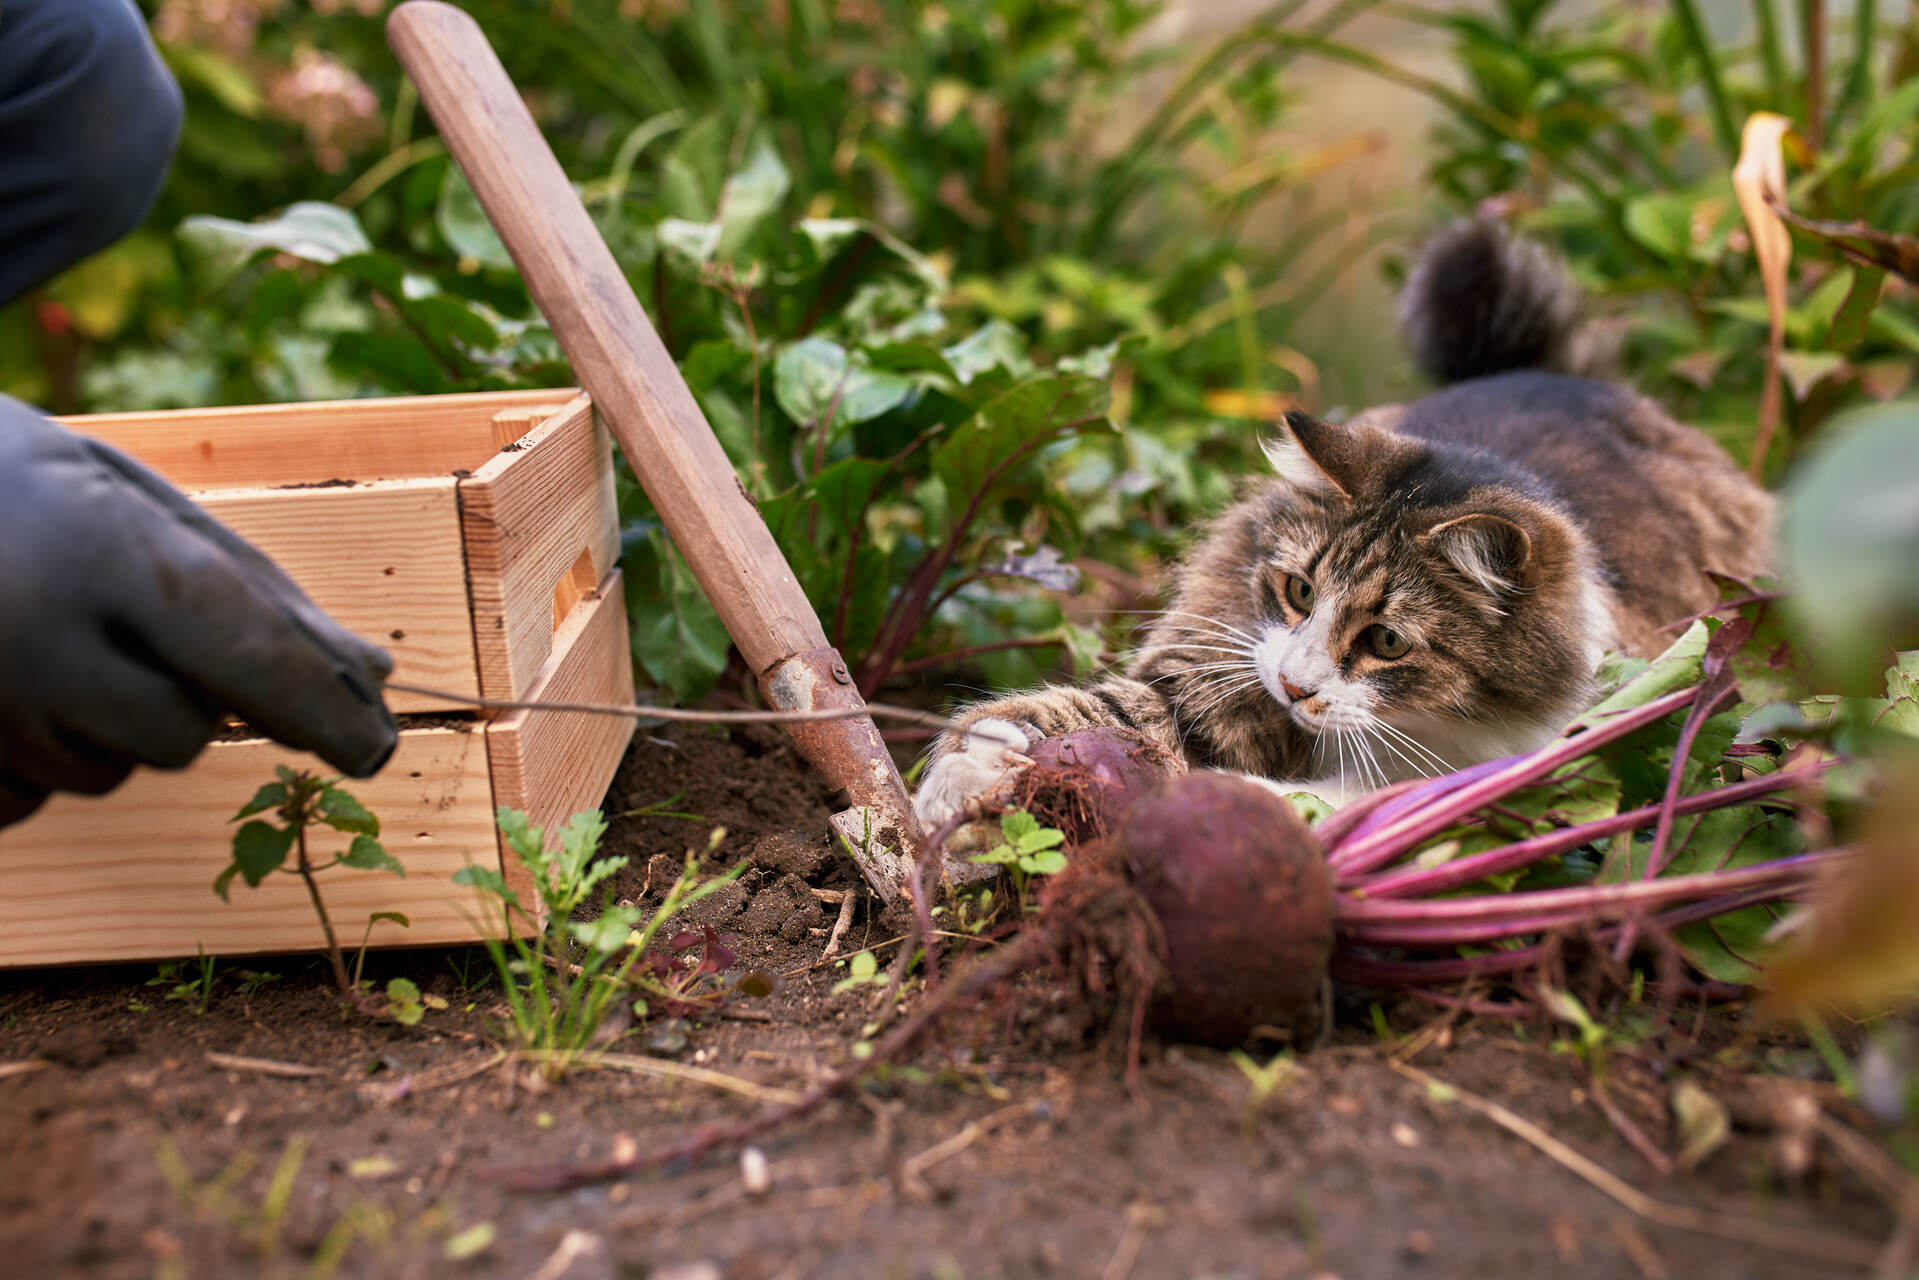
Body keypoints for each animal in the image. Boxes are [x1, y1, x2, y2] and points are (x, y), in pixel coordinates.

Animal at [909, 220, 1765, 832]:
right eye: (1296, 592)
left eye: (1385, 640)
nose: (1295, 687)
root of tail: (1561, 377)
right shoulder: (1209, 676)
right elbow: (1084, 711)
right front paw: (972, 773)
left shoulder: (1496, 765)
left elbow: (1328, 802)